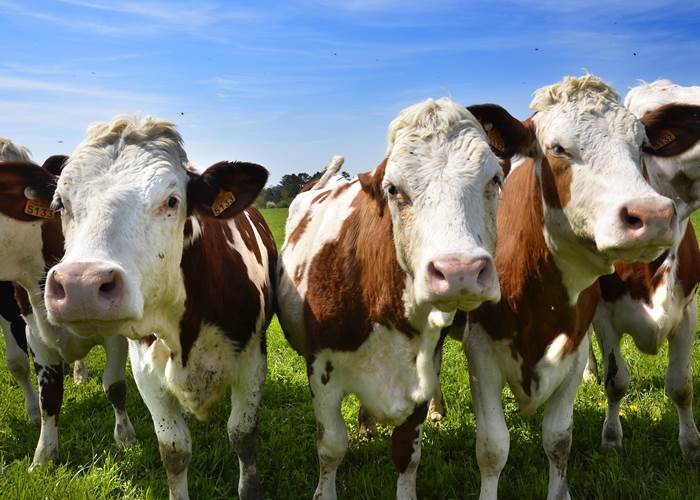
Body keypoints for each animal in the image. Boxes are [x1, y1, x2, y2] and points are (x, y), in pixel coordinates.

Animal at [0, 139, 134, 471]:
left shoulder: (115, 331)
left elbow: (115, 385)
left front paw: (125, 438)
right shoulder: (34, 329)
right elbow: (49, 397)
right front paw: (43, 456)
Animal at [41, 116, 276, 500]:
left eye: (172, 200)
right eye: (60, 204)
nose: (81, 286)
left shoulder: (252, 358)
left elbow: (242, 435)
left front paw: (250, 487)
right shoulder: (145, 367)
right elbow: (174, 449)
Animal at [277, 97, 504, 499]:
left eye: (494, 179)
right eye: (394, 189)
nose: (459, 271)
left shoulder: (420, 371)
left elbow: (406, 454)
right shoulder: (320, 368)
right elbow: (331, 446)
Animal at [463, 75, 678, 500]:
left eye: (641, 145)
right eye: (557, 148)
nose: (652, 215)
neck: (539, 297)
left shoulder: (573, 352)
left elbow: (558, 440)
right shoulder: (479, 353)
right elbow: (492, 448)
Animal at [585, 80, 700, 465]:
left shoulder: (687, 311)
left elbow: (681, 385)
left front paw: (691, 446)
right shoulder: (604, 314)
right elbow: (616, 381)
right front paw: (611, 440)